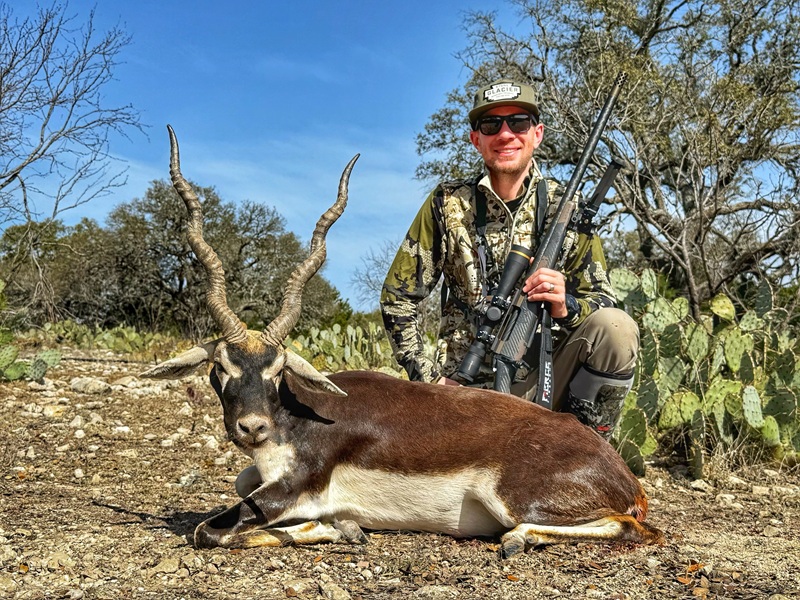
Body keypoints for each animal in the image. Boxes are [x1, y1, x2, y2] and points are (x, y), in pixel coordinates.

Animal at [142, 127, 664, 556]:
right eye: (221, 368)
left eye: (277, 370)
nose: (252, 428)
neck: (293, 417)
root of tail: (623, 473)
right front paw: (344, 526)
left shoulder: (292, 488)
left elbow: (208, 531)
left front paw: (339, 527)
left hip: (514, 500)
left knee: (636, 529)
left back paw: (517, 539)